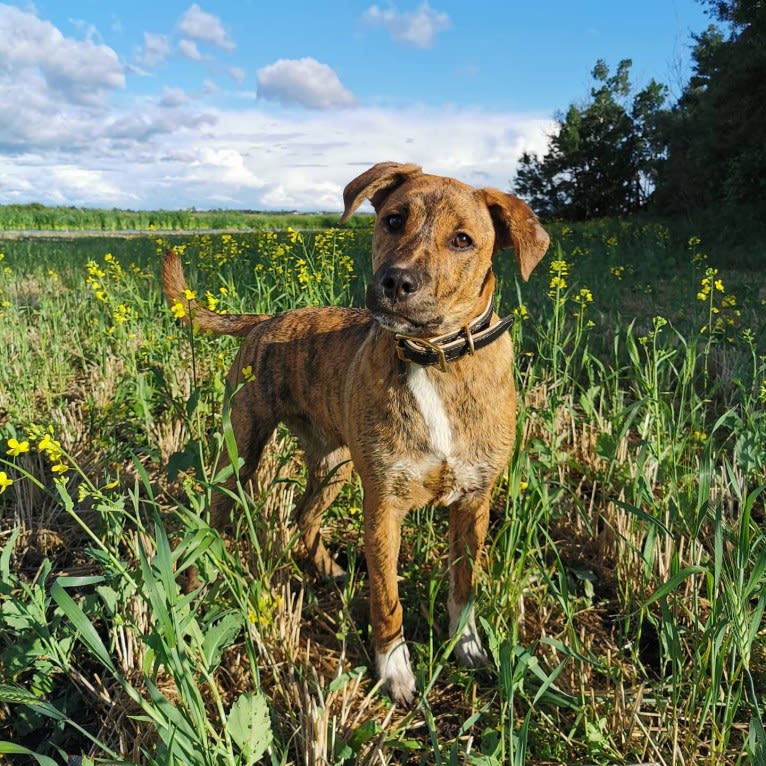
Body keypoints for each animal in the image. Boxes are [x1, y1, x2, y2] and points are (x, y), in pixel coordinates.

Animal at [162, 164, 548, 708]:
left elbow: (463, 585)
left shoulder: (474, 501)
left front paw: (467, 645)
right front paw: (395, 670)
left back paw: (327, 569)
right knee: (215, 516)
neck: (433, 358)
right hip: (243, 451)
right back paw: (201, 582)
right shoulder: (384, 504)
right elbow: (387, 596)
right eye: (393, 219)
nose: (397, 281)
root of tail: (268, 320)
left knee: (303, 516)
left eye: (463, 240)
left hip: (335, 465)